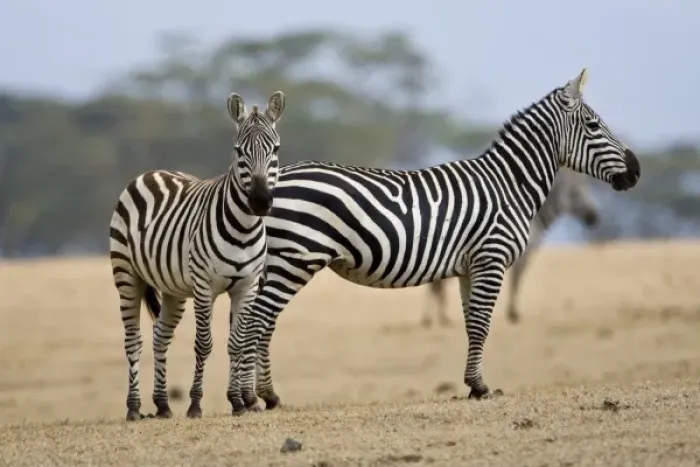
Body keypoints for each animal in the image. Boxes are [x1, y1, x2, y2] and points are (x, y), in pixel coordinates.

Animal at [109, 90, 286, 421]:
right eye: (238, 150)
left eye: (275, 149)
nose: (259, 201)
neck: (243, 229)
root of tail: (151, 172)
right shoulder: (205, 286)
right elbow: (204, 344)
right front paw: (195, 404)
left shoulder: (247, 286)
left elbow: (236, 343)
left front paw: (238, 402)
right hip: (127, 275)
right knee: (133, 341)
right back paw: (134, 407)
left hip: (173, 289)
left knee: (160, 336)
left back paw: (163, 405)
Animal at [422, 168, 600, 327]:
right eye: (575, 194)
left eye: (587, 191)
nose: (593, 218)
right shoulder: (523, 254)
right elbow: (517, 280)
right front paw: (513, 313)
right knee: (436, 286)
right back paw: (435, 318)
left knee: (435, 286)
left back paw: (435, 318)